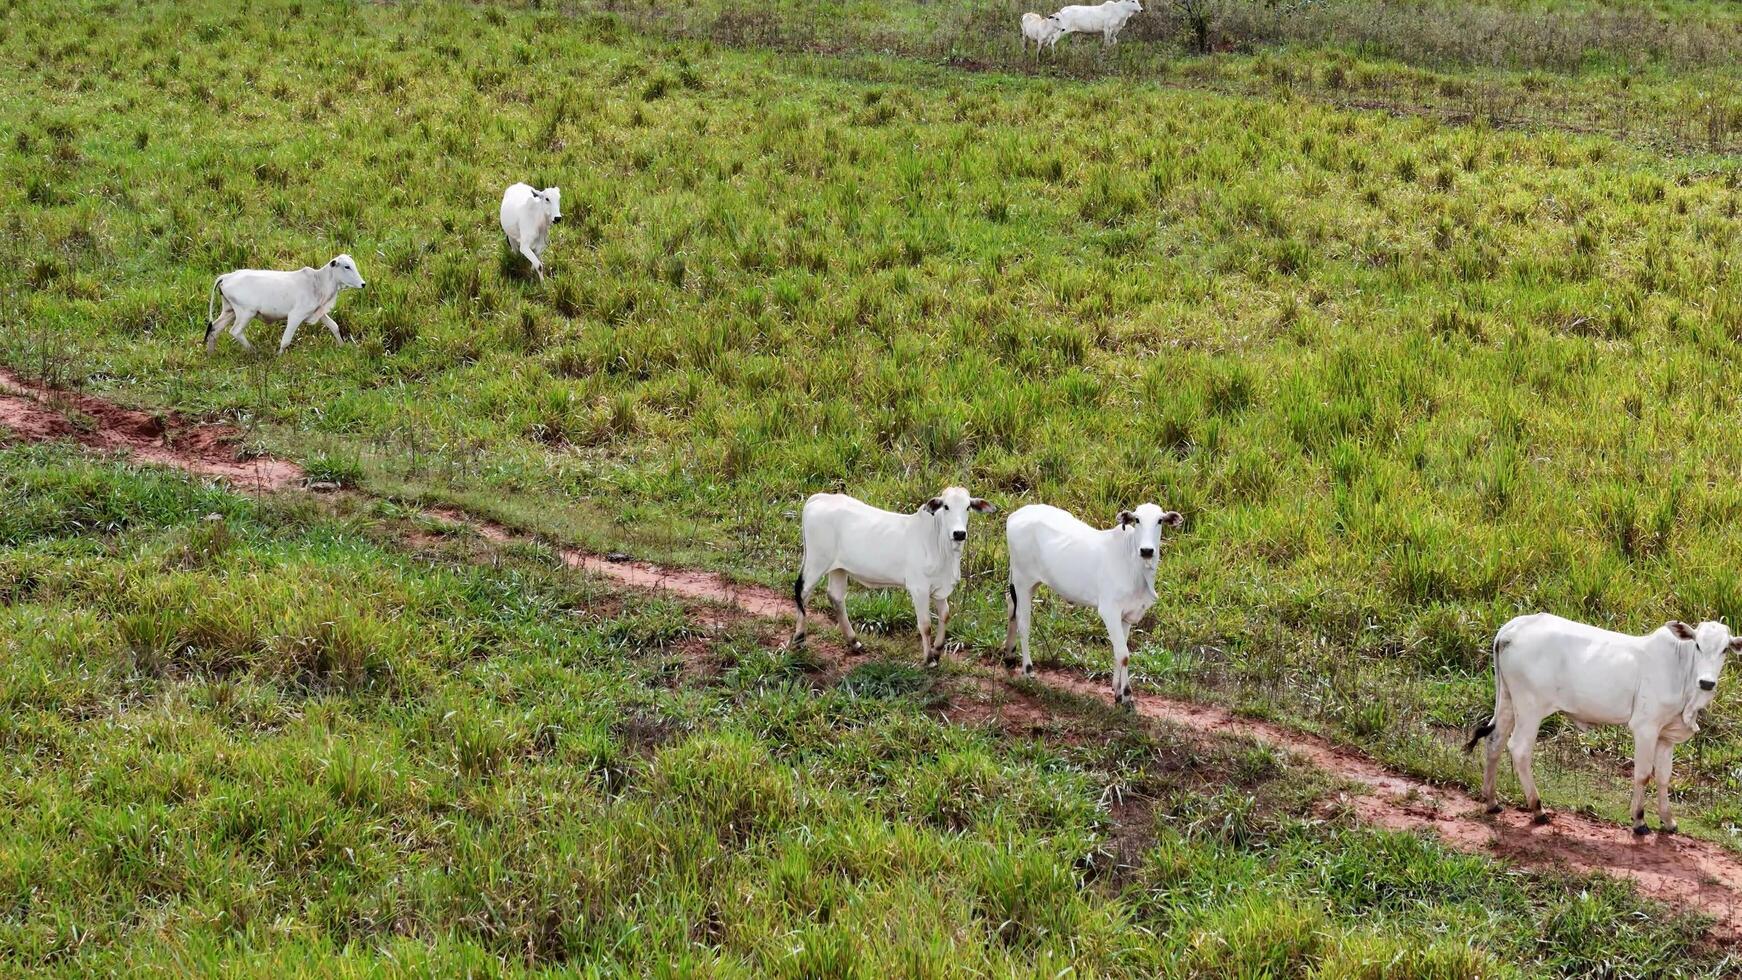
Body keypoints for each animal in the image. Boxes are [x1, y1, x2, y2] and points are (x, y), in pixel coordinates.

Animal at [202, 255, 364, 355]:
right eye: (347, 266)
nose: (363, 284)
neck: (318, 282)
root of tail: (227, 276)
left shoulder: (317, 312)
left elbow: (334, 326)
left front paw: (343, 346)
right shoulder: (295, 316)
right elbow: (286, 340)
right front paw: (279, 356)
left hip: (229, 311)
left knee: (214, 329)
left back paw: (211, 355)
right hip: (245, 313)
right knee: (235, 331)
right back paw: (254, 352)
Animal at [790, 487, 996, 668]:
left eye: (968, 507)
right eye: (946, 506)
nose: (959, 533)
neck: (940, 546)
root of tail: (820, 498)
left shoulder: (940, 588)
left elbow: (945, 615)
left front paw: (937, 651)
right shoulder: (919, 589)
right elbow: (925, 624)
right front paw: (929, 659)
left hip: (838, 568)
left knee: (836, 597)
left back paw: (854, 642)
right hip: (817, 561)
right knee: (803, 592)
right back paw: (799, 639)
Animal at [1010, 504, 1184, 706]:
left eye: (1160, 520)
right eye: (1137, 519)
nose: (1147, 550)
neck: (1134, 566)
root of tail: (1018, 513)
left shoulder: (1126, 616)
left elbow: (1119, 651)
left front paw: (1117, 690)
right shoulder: (1109, 611)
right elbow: (1124, 654)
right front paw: (1126, 695)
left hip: (1026, 583)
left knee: (1011, 609)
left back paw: (1009, 656)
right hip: (1023, 581)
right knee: (1023, 623)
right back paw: (1027, 670)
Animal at [1463, 612, 1735, 835]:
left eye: (1725, 650)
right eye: (1698, 645)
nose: (1707, 682)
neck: (1681, 670)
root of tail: (1512, 628)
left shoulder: (1666, 736)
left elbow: (1663, 778)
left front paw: (1668, 822)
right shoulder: (1645, 728)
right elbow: (1643, 774)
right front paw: (1639, 821)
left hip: (1508, 701)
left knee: (1495, 741)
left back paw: (1492, 802)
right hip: (1530, 708)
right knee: (1519, 749)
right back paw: (1538, 810)